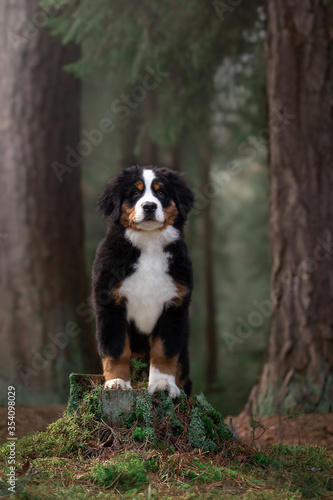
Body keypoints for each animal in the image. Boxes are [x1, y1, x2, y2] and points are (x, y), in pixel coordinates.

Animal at [92, 167, 193, 398]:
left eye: (161, 193)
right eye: (135, 193)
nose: (149, 206)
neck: (149, 244)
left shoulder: (174, 306)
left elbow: (164, 351)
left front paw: (163, 384)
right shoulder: (110, 304)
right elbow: (116, 348)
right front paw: (117, 381)